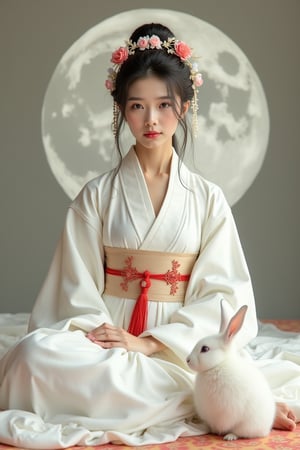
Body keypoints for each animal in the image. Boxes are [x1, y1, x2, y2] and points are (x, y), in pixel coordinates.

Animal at [186, 300, 276, 442]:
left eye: (205, 349)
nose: (187, 360)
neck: (218, 365)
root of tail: (265, 430)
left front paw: (221, 432)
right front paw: (212, 430)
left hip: (248, 424)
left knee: (241, 432)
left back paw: (230, 436)